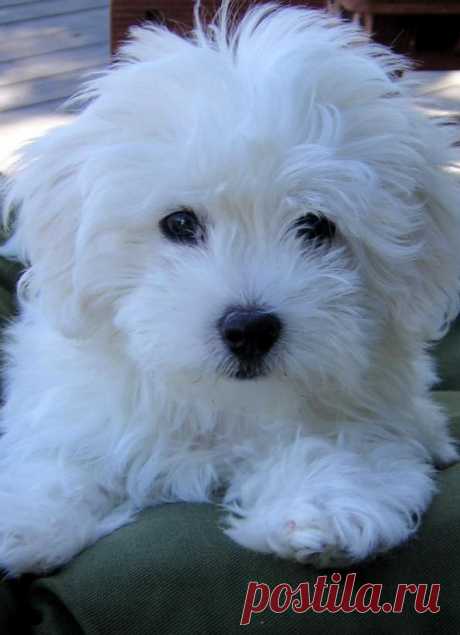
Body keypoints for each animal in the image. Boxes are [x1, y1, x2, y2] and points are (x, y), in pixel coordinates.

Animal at [0, 0, 460, 576]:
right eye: (178, 223)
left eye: (316, 226)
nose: (249, 329)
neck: (219, 402)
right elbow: (55, 459)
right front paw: (26, 519)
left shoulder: (369, 413)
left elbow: (340, 448)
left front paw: (324, 508)